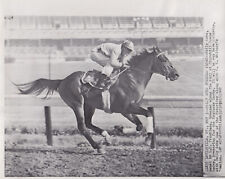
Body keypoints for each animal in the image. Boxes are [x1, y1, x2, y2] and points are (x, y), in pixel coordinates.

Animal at [15, 46, 179, 153]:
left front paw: (119, 129)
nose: (176, 74)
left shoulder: (126, 110)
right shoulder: (127, 107)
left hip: (90, 105)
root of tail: (62, 81)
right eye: (163, 59)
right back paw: (98, 147)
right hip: (77, 103)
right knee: (82, 126)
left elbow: (139, 125)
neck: (132, 78)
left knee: (88, 123)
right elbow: (149, 114)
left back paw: (105, 137)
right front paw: (147, 138)